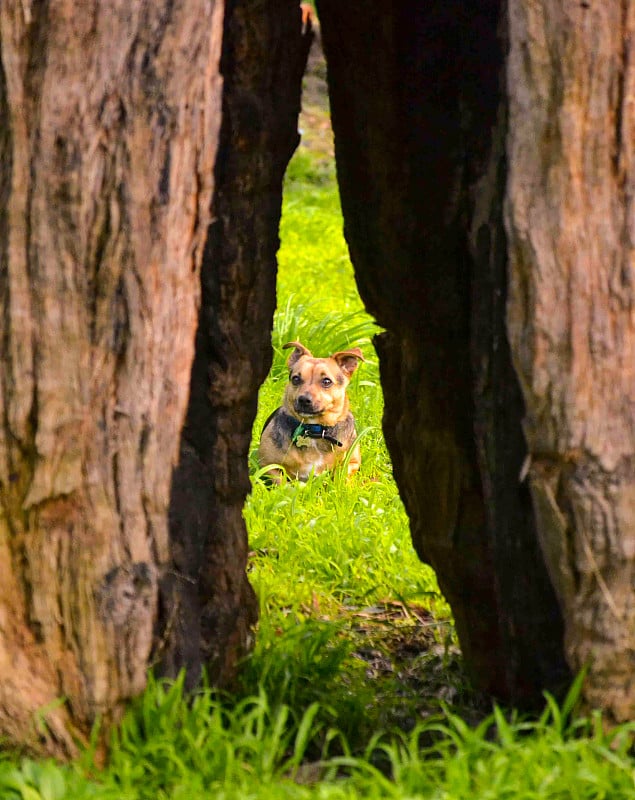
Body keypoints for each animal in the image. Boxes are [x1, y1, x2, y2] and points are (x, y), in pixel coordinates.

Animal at [258, 340, 366, 482]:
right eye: (295, 379)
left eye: (326, 381)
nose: (304, 399)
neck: (314, 429)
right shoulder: (267, 465)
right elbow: (281, 481)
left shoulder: (353, 463)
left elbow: (341, 476)